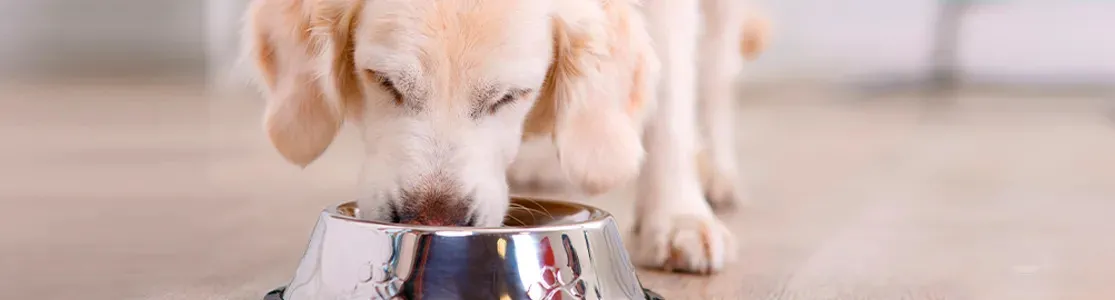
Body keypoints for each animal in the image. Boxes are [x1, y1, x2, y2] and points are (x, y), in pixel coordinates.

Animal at [241, 0, 767, 273]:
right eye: (384, 81)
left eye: (511, 96)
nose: (435, 220)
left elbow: (672, 103)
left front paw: (677, 219)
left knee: (717, 71)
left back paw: (716, 175)